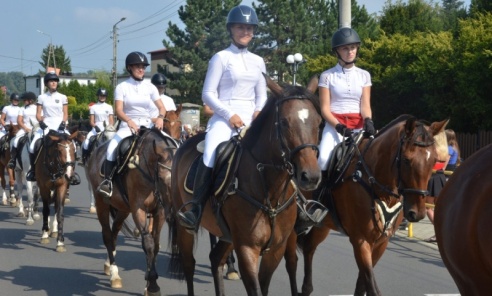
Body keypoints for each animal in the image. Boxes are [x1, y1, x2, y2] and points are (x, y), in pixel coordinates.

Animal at [169, 74, 322, 296]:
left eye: (319, 123)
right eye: (284, 122)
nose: (310, 176)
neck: (270, 193)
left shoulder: (275, 249)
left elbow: (265, 285)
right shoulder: (246, 248)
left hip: (227, 235)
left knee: (216, 260)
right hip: (185, 228)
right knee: (189, 264)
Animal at [284, 115, 450, 296]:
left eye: (434, 161)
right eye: (407, 160)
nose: (417, 213)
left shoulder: (381, 242)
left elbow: (361, 285)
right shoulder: (360, 240)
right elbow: (371, 287)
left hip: (323, 225)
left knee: (308, 248)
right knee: (291, 261)